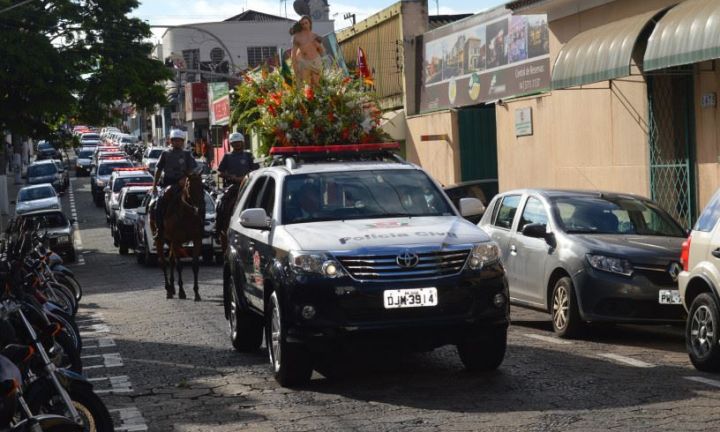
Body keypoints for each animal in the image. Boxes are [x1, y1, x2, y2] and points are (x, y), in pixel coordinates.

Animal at [156, 172, 204, 300]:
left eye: (202, 186)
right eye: (189, 186)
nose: (200, 207)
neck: (186, 216)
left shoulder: (197, 239)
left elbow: (195, 265)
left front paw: (196, 293)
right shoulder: (176, 241)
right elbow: (179, 265)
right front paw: (182, 291)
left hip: (171, 242)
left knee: (171, 260)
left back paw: (172, 288)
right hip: (161, 240)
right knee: (164, 263)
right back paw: (168, 289)